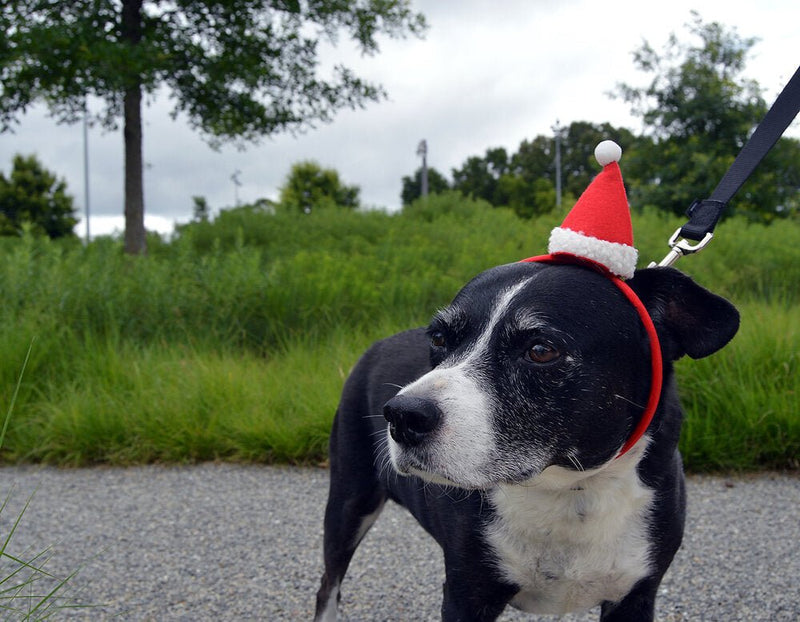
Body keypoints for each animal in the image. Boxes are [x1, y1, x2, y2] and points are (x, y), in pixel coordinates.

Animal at [312, 258, 736, 620]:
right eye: (439, 339)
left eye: (541, 350)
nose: (403, 416)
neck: (571, 490)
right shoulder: (466, 594)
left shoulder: (634, 596)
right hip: (350, 500)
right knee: (328, 585)